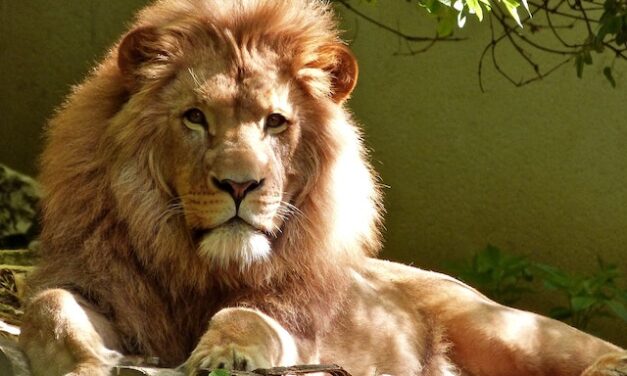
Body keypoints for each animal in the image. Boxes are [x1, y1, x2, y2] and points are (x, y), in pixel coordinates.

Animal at [17, 0, 624, 376]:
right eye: (195, 117)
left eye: (275, 122)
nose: (241, 185)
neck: (199, 267)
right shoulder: (97, 284)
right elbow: (49, 308)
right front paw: (89, 363)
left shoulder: (296, 322)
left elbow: (245, 319)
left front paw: (224, 356)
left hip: (503, 327)